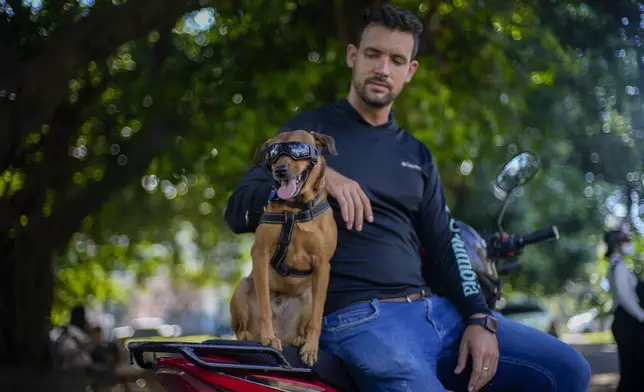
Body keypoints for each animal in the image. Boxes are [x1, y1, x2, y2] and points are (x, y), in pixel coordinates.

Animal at [233, 130, 342, 366]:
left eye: (297, 150)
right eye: (272, 154)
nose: (280, 170)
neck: (295, 208)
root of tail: (285, 334)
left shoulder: (322, 264)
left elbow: (317, 318)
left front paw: (311, 347)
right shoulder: (261, 254)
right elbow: (265, 306)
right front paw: (268, 338)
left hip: (309, 297)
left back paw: (300, 339)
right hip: (241, 288)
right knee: (239, 328)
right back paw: (248, 335)